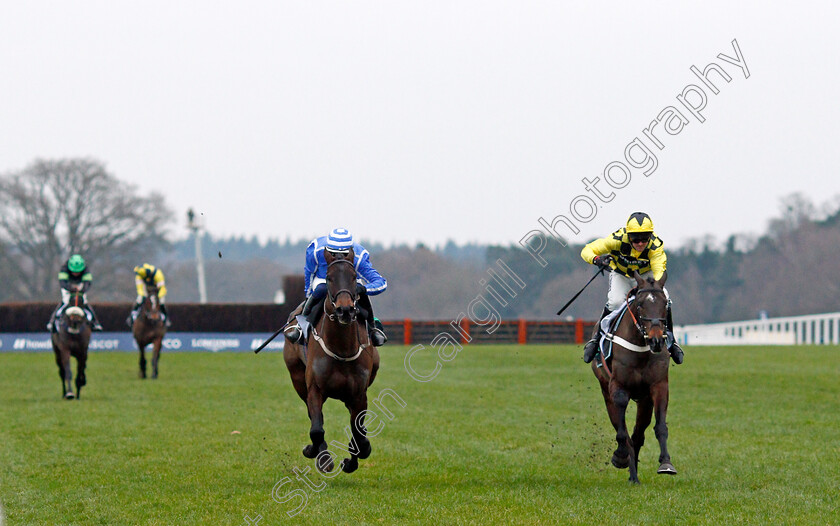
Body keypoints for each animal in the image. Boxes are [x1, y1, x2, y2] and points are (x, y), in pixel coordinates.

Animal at [288, 250, 382, 476]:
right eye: (329, 278)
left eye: (355, 277)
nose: (345, 310)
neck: (341, 349)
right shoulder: (314, 389)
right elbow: (316, 428)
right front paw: (320, 456)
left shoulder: (359, 394)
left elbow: (358, 432)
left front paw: (352, 460)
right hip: (297, 378)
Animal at [592, 272, 676, 486]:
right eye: (640, 305)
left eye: (665, 304)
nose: (656, 340)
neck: (641, 348)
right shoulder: (618, 386)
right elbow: (621, 430)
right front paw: (620, 456)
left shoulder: (658, 386)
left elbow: (660, 427)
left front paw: (666, 463)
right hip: (605, 390)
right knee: (622, 428)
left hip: (644, 400)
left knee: (638, 435)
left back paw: (634, 475)